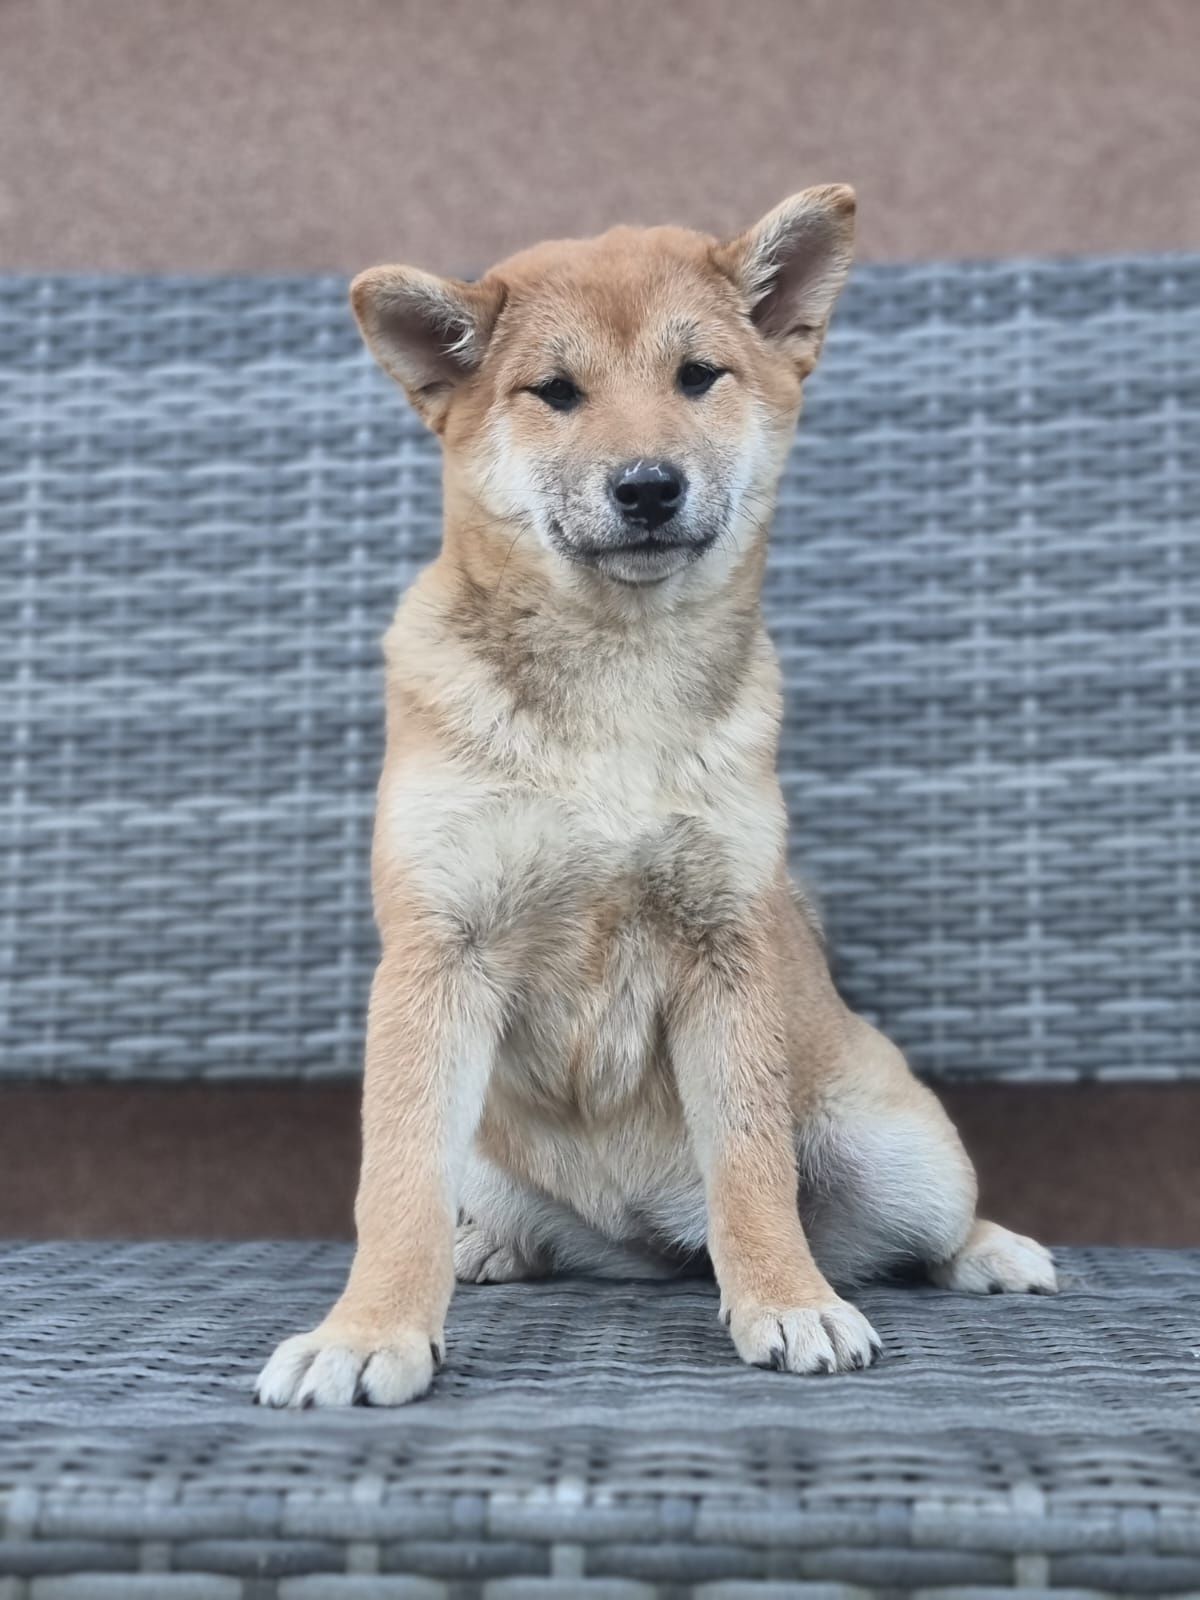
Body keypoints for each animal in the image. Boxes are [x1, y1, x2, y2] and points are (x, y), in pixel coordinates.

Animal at [256, 190, 1062, 1414]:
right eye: (556, 391)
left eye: (697, 376)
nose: (646, 485)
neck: (615, 691)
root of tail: (649, 1233)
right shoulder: (438, 950)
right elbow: (394, 1184)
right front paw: (369, 1328)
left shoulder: (723, 944)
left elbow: (752, 1166)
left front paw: (786, 1298)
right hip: (498, 1149)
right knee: (547, 1231)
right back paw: (497, 1247)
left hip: (898, 1150)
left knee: (903, 1228)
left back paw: (986, 1252)